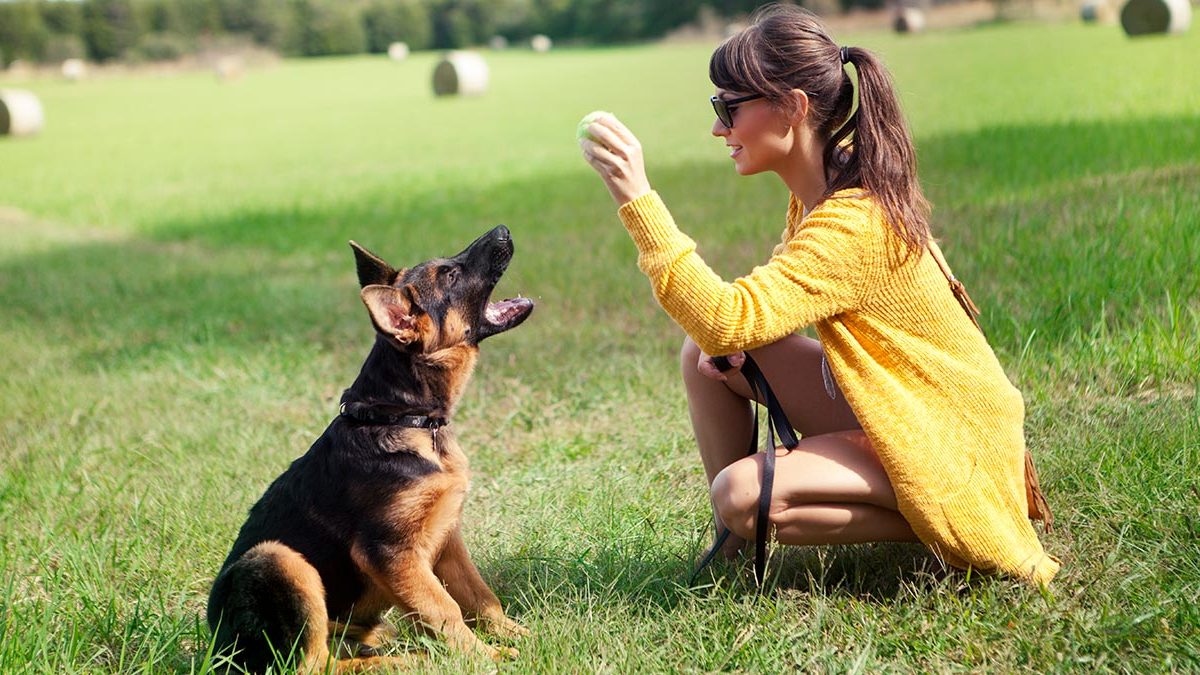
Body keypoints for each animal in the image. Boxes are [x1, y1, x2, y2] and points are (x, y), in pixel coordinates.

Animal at [207, 227, 535, 672]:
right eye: (450, 275)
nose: (503, 230)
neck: (404, 417)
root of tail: (218, 650)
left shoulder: (447, 540)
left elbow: (480, 597)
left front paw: (518, 636)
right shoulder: (390, 553)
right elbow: (444, 609)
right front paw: (484, 656)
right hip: (278, 561)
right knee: (316, 665)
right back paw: (409, 660)